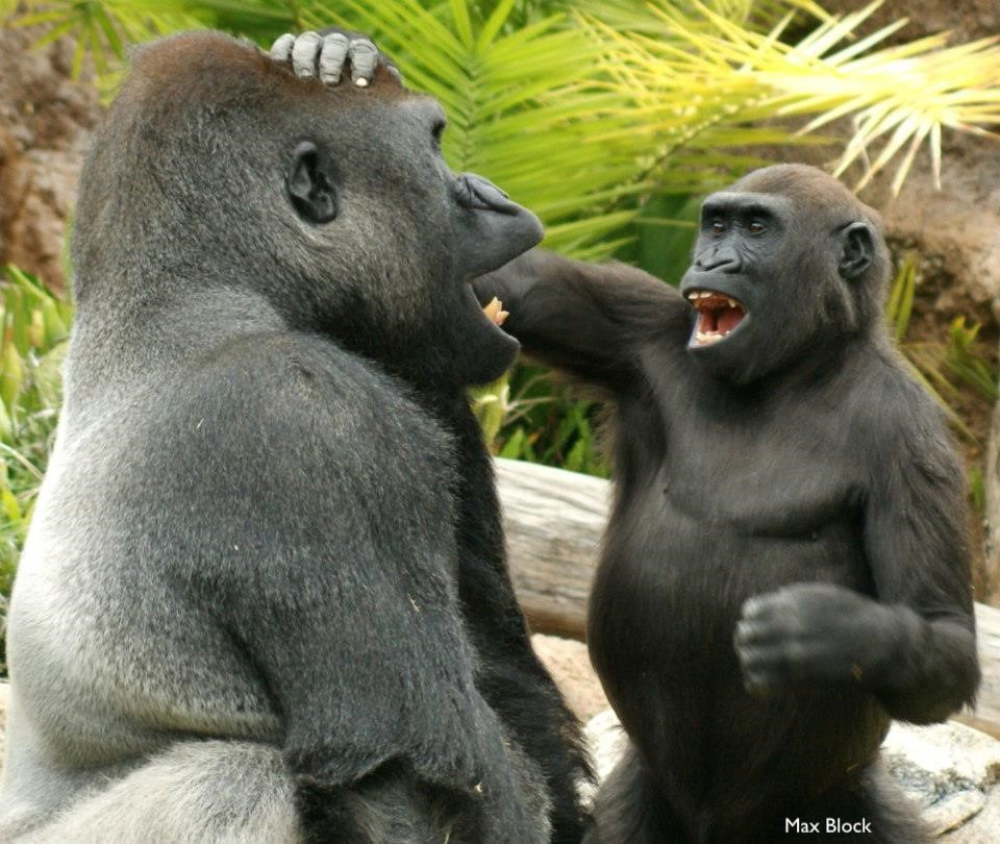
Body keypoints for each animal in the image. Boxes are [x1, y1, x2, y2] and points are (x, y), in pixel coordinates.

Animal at [0, 29, 588, 840]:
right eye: (436, 147)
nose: (494, 194)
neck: (191, 301)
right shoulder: (307, 412)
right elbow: (406, 771)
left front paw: (330, 54)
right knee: (234, 777)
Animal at [474, 165, 976, 844]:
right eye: (716, 224)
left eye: (757, 228)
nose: (713, 260)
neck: (798, 368)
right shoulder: (642, 327)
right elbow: (510, 286)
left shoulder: (913, 437)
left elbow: (944, 631)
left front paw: (829, 634)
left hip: (838, 797)